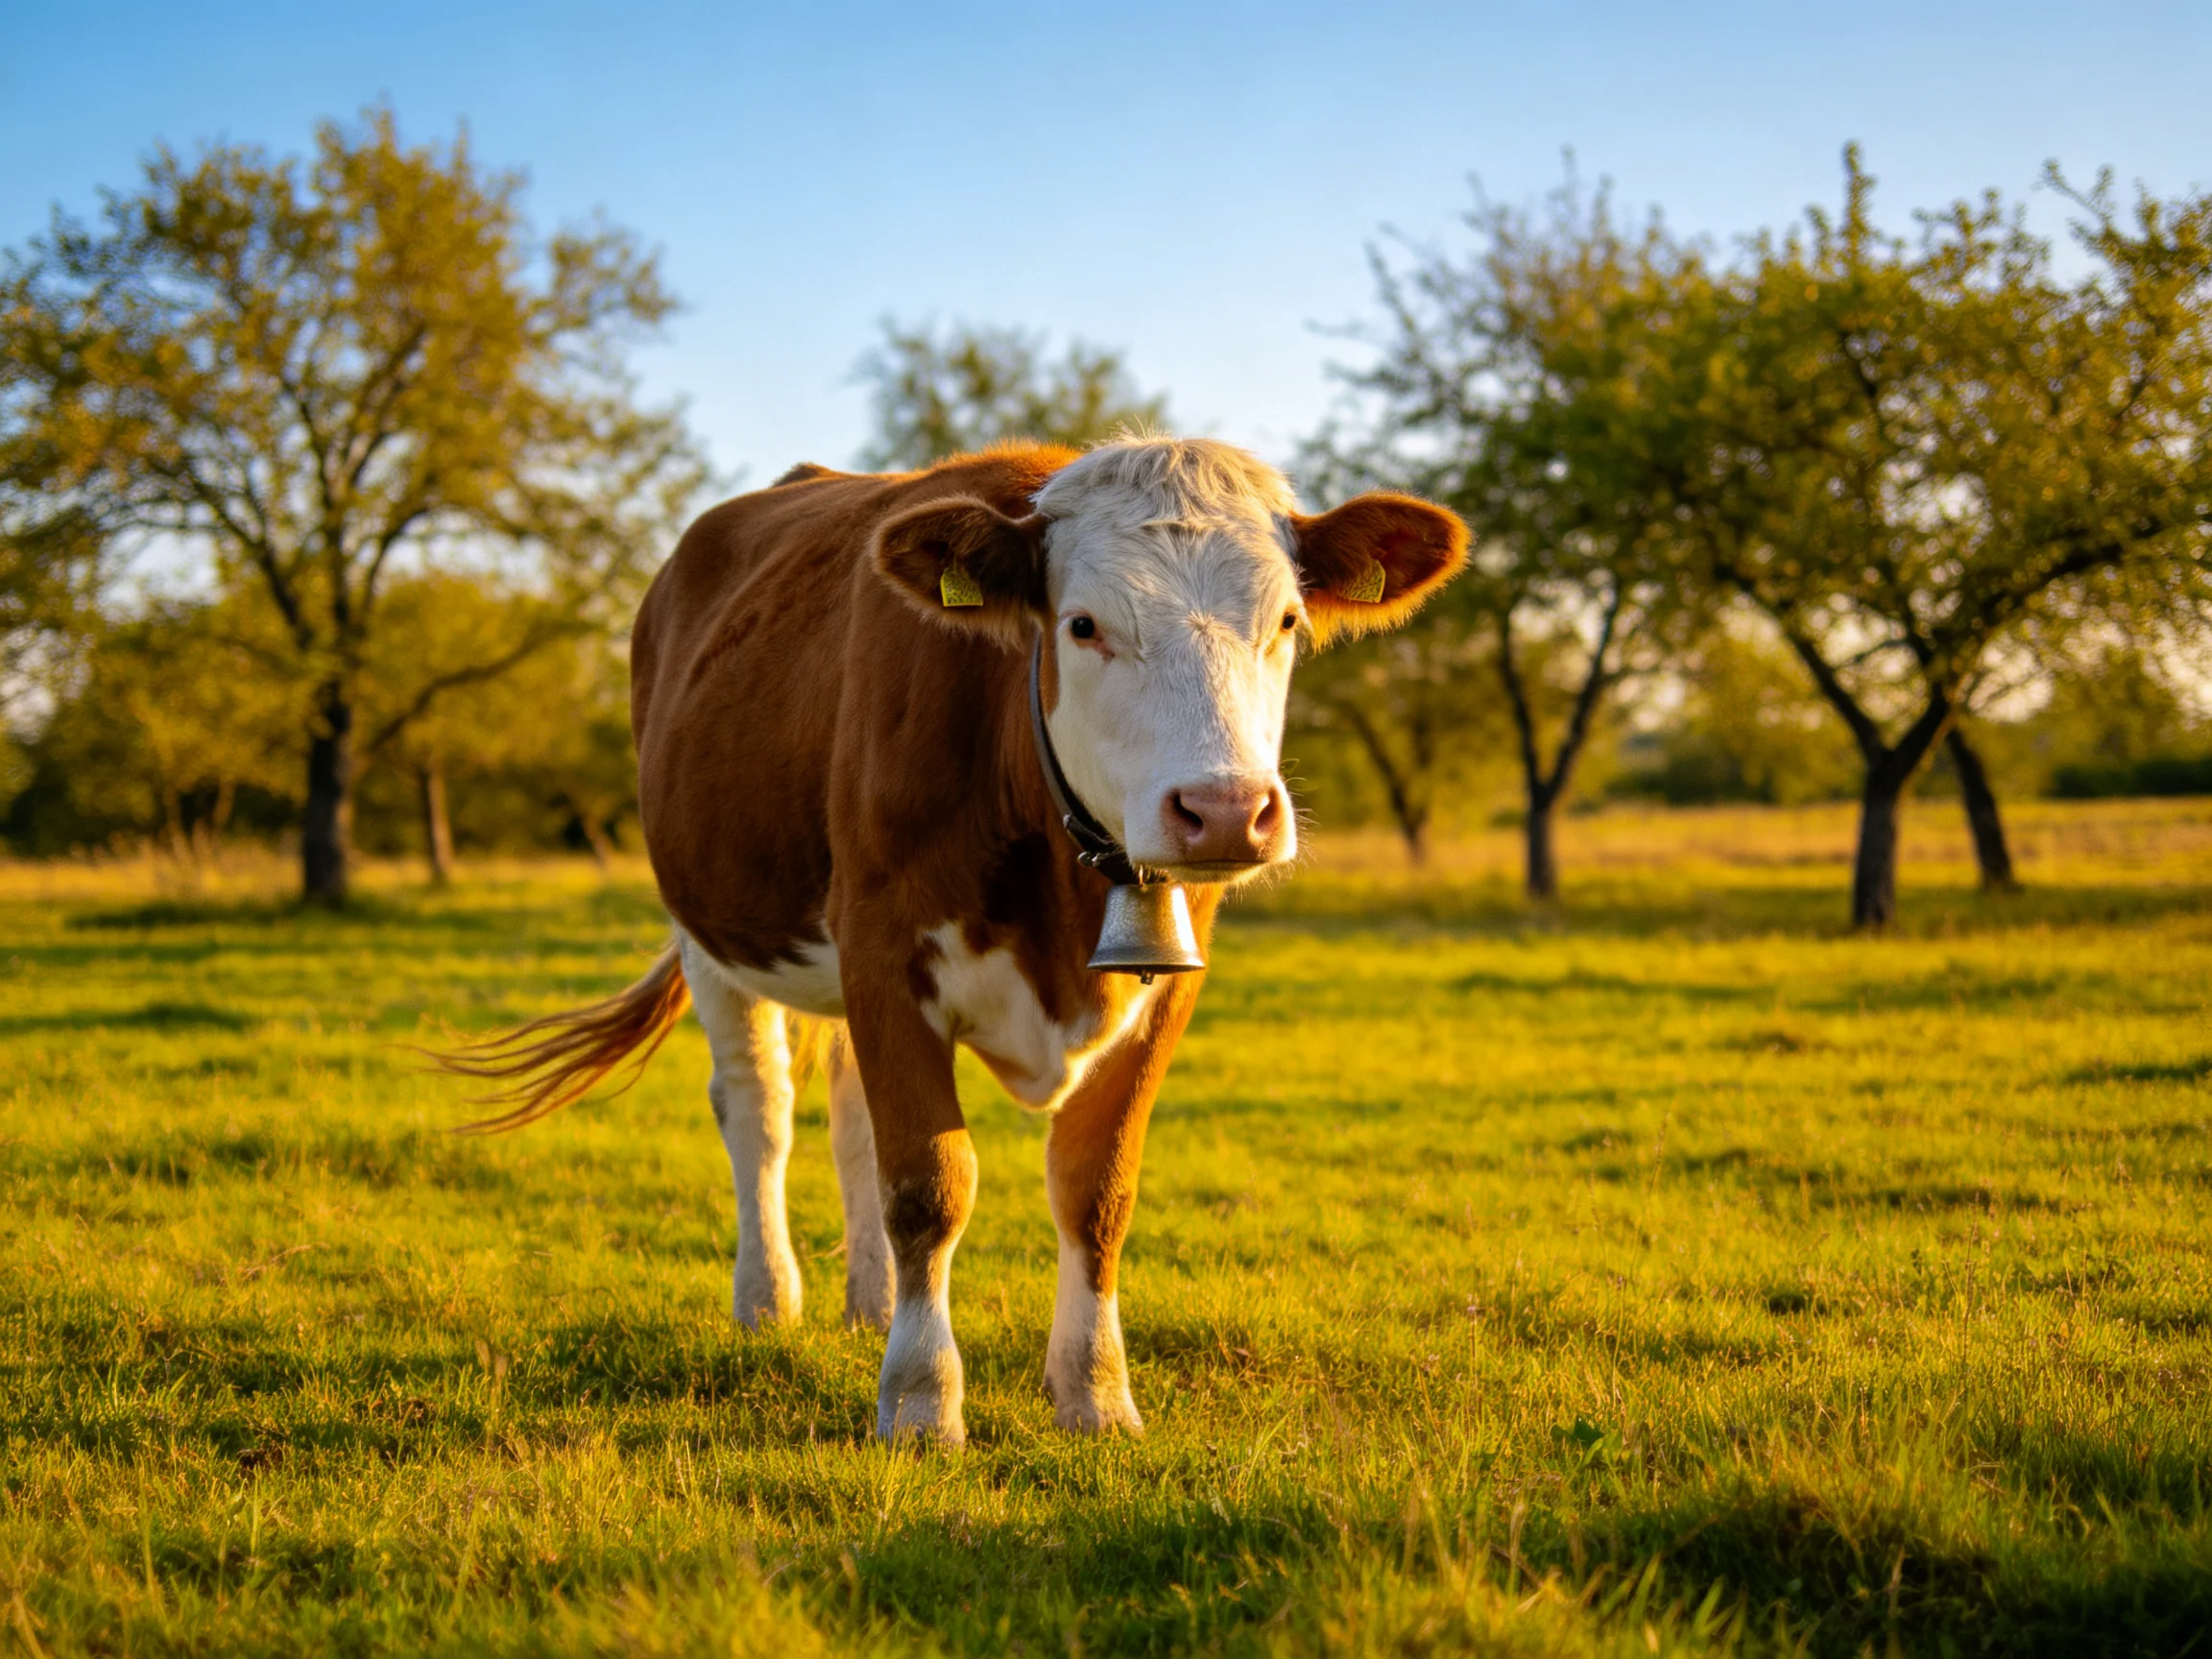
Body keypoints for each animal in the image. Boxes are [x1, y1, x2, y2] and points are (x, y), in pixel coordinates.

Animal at [444, 437, 1466, 1445]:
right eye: (1083, 625)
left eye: (1287, 620)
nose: (1223, 811)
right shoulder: (884, 949)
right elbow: (929, 1186)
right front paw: (921, 1401)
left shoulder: (1165, 985)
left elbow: (1095, 1190)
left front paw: (1096, 1393)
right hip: (711, 928)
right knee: (758, 1108)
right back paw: (767, 1299)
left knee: (849, 1115)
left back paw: (868, 1302)